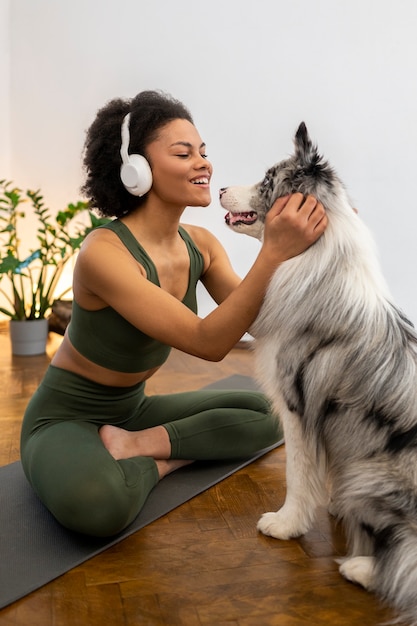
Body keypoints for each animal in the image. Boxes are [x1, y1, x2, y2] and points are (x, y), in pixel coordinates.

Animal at [219, 123, 416, 624]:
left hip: (373, 472)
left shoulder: (296, 404)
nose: (220, 188)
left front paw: (286, 524)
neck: (315, 255)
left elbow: (297, 472)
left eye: (268, 179)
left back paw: (361, 568)